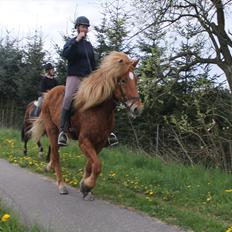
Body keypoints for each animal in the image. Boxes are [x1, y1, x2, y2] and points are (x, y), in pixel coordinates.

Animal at [30, 51, 143, 198]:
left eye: (135, 80)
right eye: (122, 81)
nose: (137, 108)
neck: (98, 109)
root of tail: (49, 93)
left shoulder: (100, 142)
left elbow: (91, 165)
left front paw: (85, 186)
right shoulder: (84, 141)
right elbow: (97, 165)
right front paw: (87, 184)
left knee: (55, 153)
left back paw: (49, 167)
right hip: (52, 130)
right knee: (56, 154)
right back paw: (61, 185)